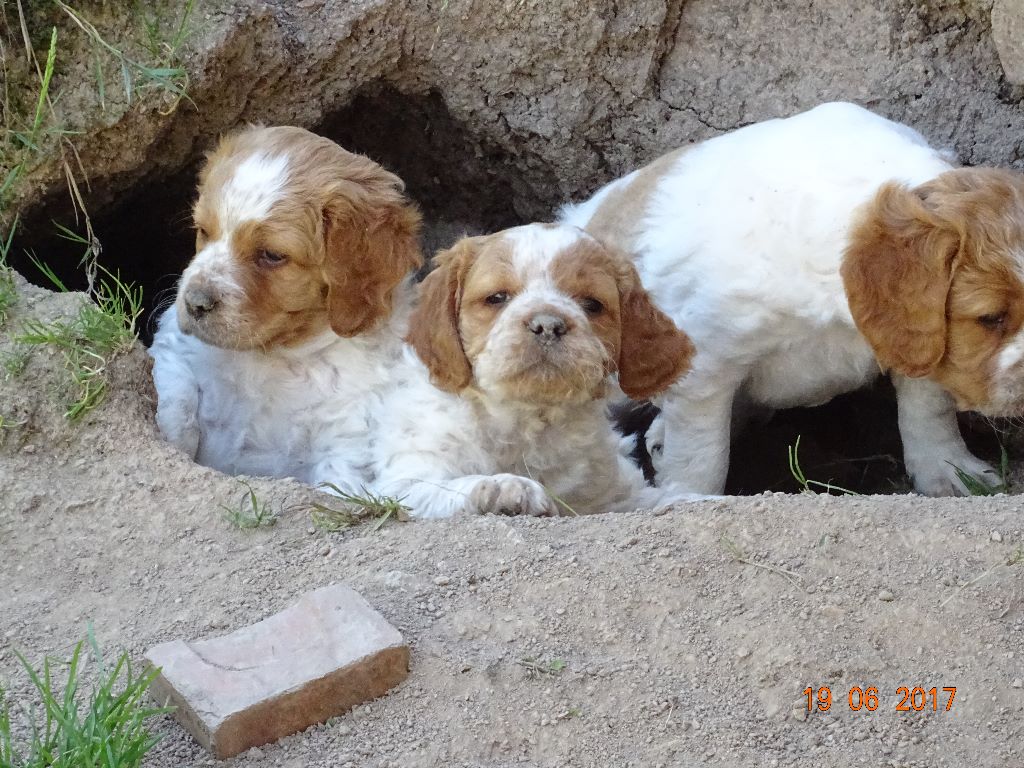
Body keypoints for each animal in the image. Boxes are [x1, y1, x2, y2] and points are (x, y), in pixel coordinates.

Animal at [148, 123, 419, 489]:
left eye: (272, 255)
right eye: (203, 231)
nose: (195, 303)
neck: (276, 357)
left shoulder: (345, 440)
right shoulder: (175, 344)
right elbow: (176, 397)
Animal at [370, 224, 696, 524]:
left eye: (592, 304)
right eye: (497, 297)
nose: (547, 324)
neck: (526, 418)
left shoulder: (610, 490)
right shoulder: (405, 480)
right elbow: (445, 485)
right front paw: (506, 487)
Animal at [561, 100, 1024, 499]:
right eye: (990, 317)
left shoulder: (918, 344)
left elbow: (928, 408)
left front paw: (949, 470)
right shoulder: (705, 364)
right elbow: (701, 455)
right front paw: (690, 497)